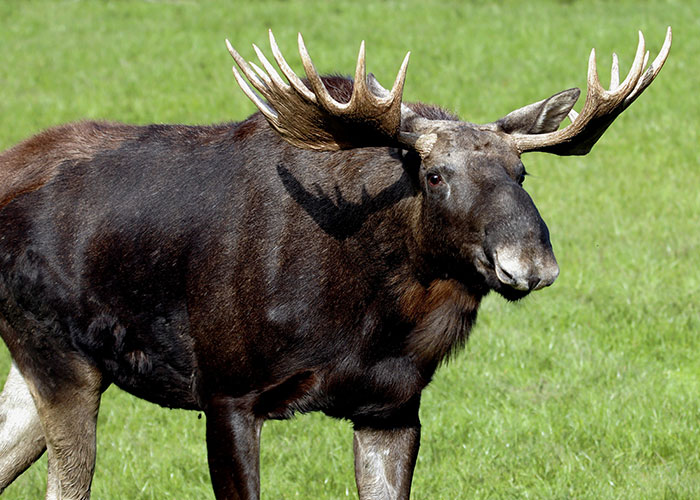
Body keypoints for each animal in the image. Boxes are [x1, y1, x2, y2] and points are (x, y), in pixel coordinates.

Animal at [0, 28, 670, 499]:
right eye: (434, 175)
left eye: (521, 172)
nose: (529, 262)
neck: (368, 318)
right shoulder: (226, 391)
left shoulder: (392, 406)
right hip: (61, 359)